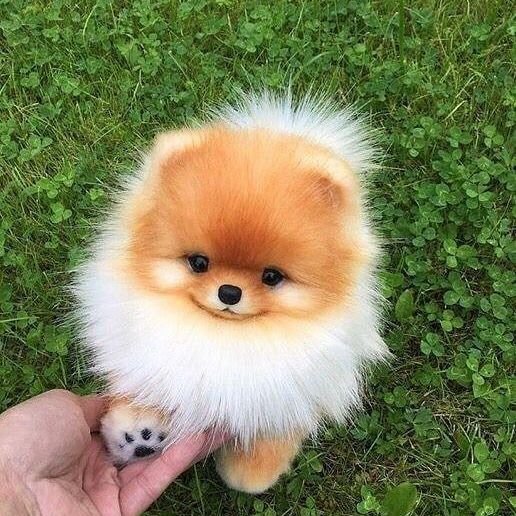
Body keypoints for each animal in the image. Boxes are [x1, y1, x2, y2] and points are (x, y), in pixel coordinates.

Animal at [72, 90, 388, 494]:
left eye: (272, 277)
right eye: (198, 263)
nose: (229, 292)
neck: (223, 335)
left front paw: (250, 471)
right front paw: (136, 430)